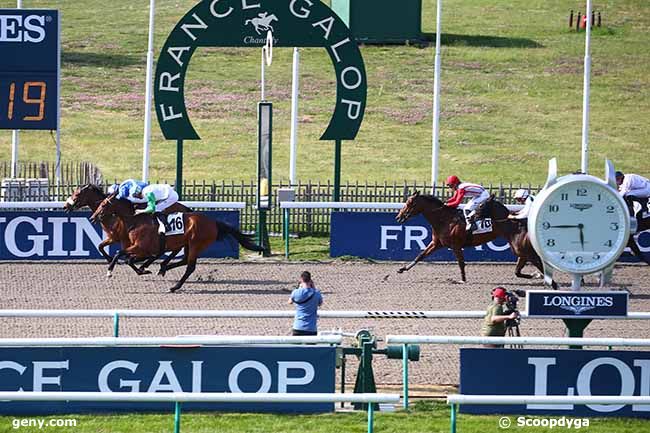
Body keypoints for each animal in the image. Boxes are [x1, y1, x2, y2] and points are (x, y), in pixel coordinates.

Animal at [90, 194, 264, 292]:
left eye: (104, 204)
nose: (93, 217)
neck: (136, 220)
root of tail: (214, 222)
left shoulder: (141, 247)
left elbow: (120, 254)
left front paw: (110, 271)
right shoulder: (139, 249)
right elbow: (128, 259)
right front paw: (143, 270)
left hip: (195, 244)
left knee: (190, 266)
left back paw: (174, 286)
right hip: (188, 244)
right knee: (184, 260)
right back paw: (163, 268)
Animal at [394, 191, 552, 286]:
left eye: (409, 203)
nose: (398, 217)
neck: (445, 220)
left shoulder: (456, 245)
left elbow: (461, 263)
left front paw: (462, 280)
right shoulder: (436, 243)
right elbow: (420, 255)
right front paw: (402, 268)